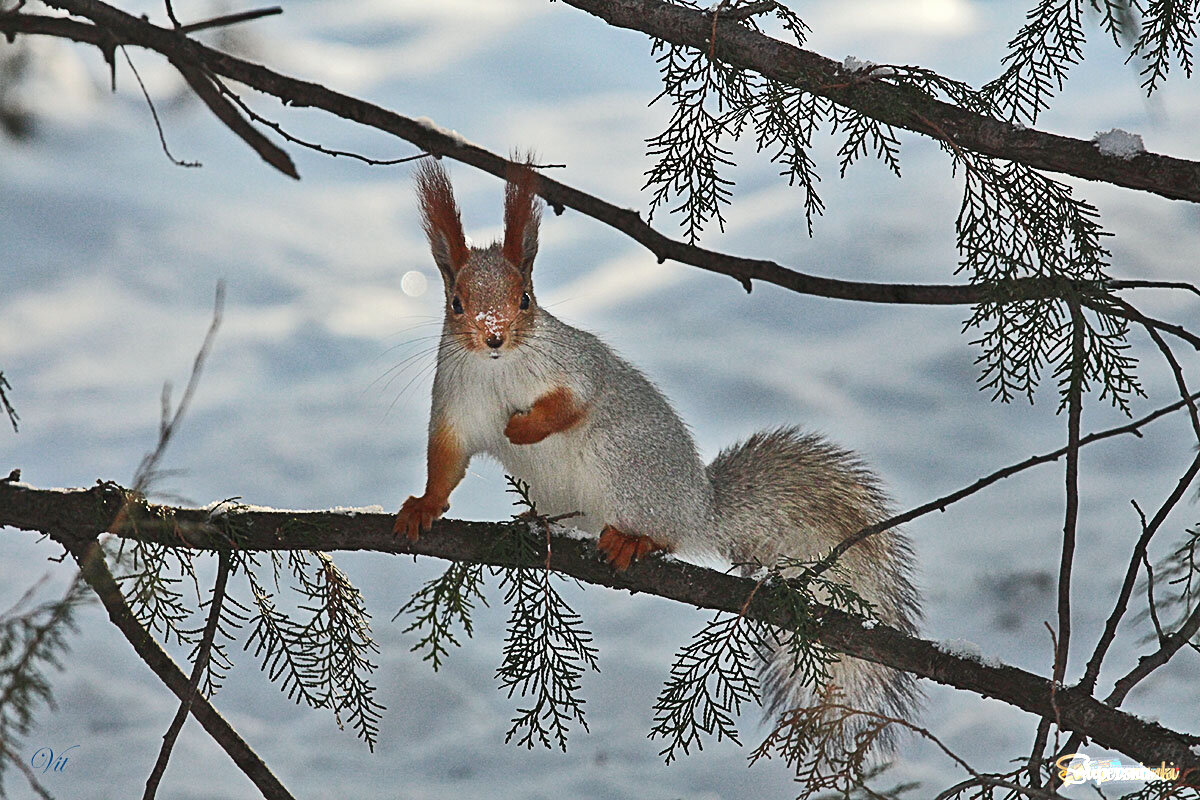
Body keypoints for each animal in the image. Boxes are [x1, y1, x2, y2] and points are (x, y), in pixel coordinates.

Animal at [393, 160, 916, 753]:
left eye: (525, 296)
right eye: (456, 302)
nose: (494, 337)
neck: (498, 371)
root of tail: (701, 506)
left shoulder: (574, 367)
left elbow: (572, 404)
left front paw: (523, 428)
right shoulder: (454, 406)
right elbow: (446, 461)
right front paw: (423, 506)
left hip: (625, 469)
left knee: (668, 535)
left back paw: (634, 540)